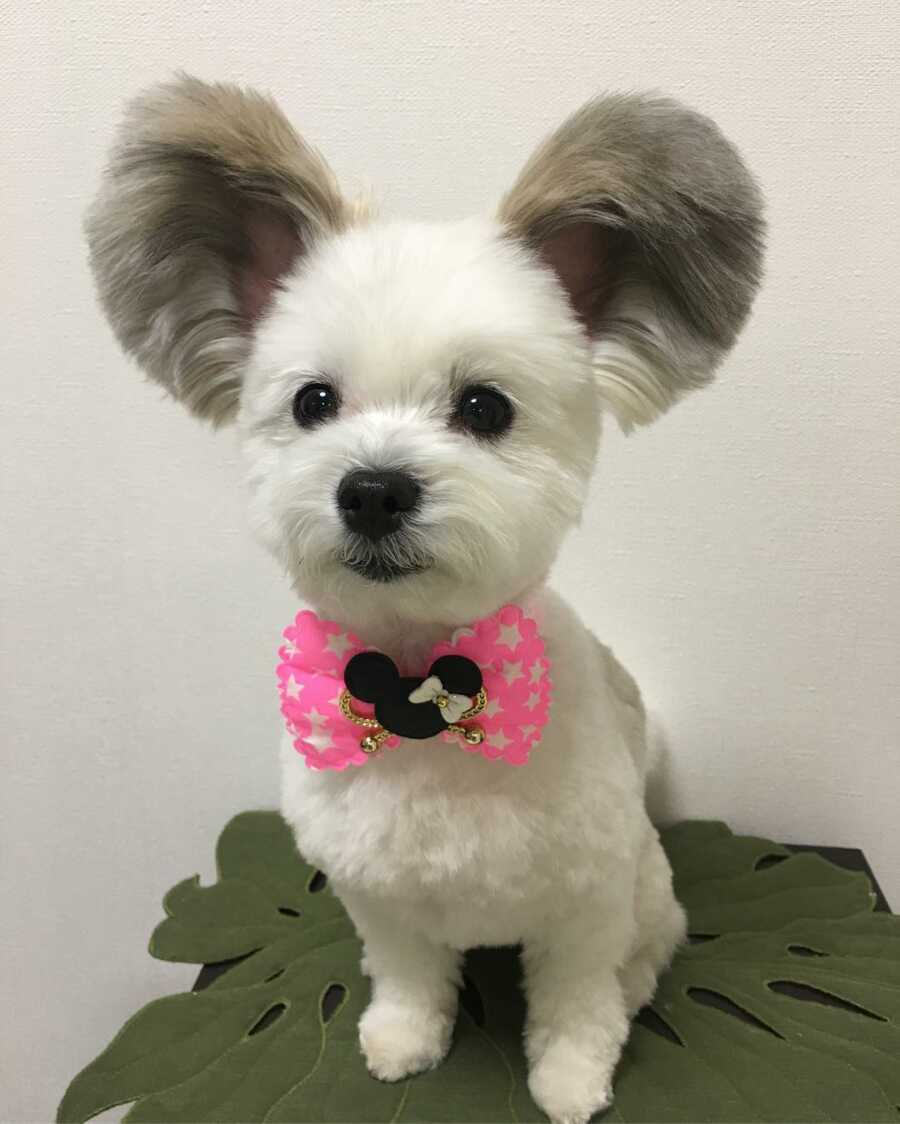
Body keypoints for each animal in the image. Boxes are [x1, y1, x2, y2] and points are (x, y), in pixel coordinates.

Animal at [84, 79, 764, 1124]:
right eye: (314, 402)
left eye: (485, 408)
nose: (371, 489)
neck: (418, 687)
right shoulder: (377, 895)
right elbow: (406, 976)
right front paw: (404, 1039)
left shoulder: (585, 901)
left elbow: (576, 998)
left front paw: (573, 1075)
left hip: (648, 881)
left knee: (647, 946)